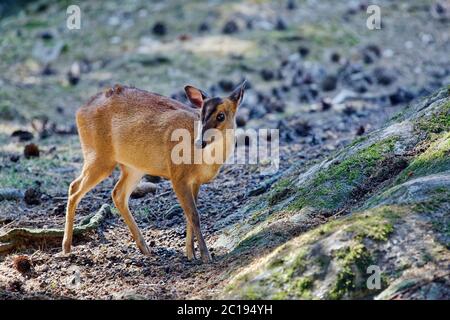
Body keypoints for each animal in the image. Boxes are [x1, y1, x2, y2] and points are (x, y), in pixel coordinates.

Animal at [63, 80, 246, 262]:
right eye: (201, 115)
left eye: (221, 116)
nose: (200, 142)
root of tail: (80, 111)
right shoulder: (178, 176)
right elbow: (194, 216)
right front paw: (206, 256)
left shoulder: (195, 181)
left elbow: (189, 216)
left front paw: (190, 254)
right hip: (99, 156)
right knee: (74, 187)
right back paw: (66, 247)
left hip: (133, 167)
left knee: (117, 193)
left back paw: (145, 248)